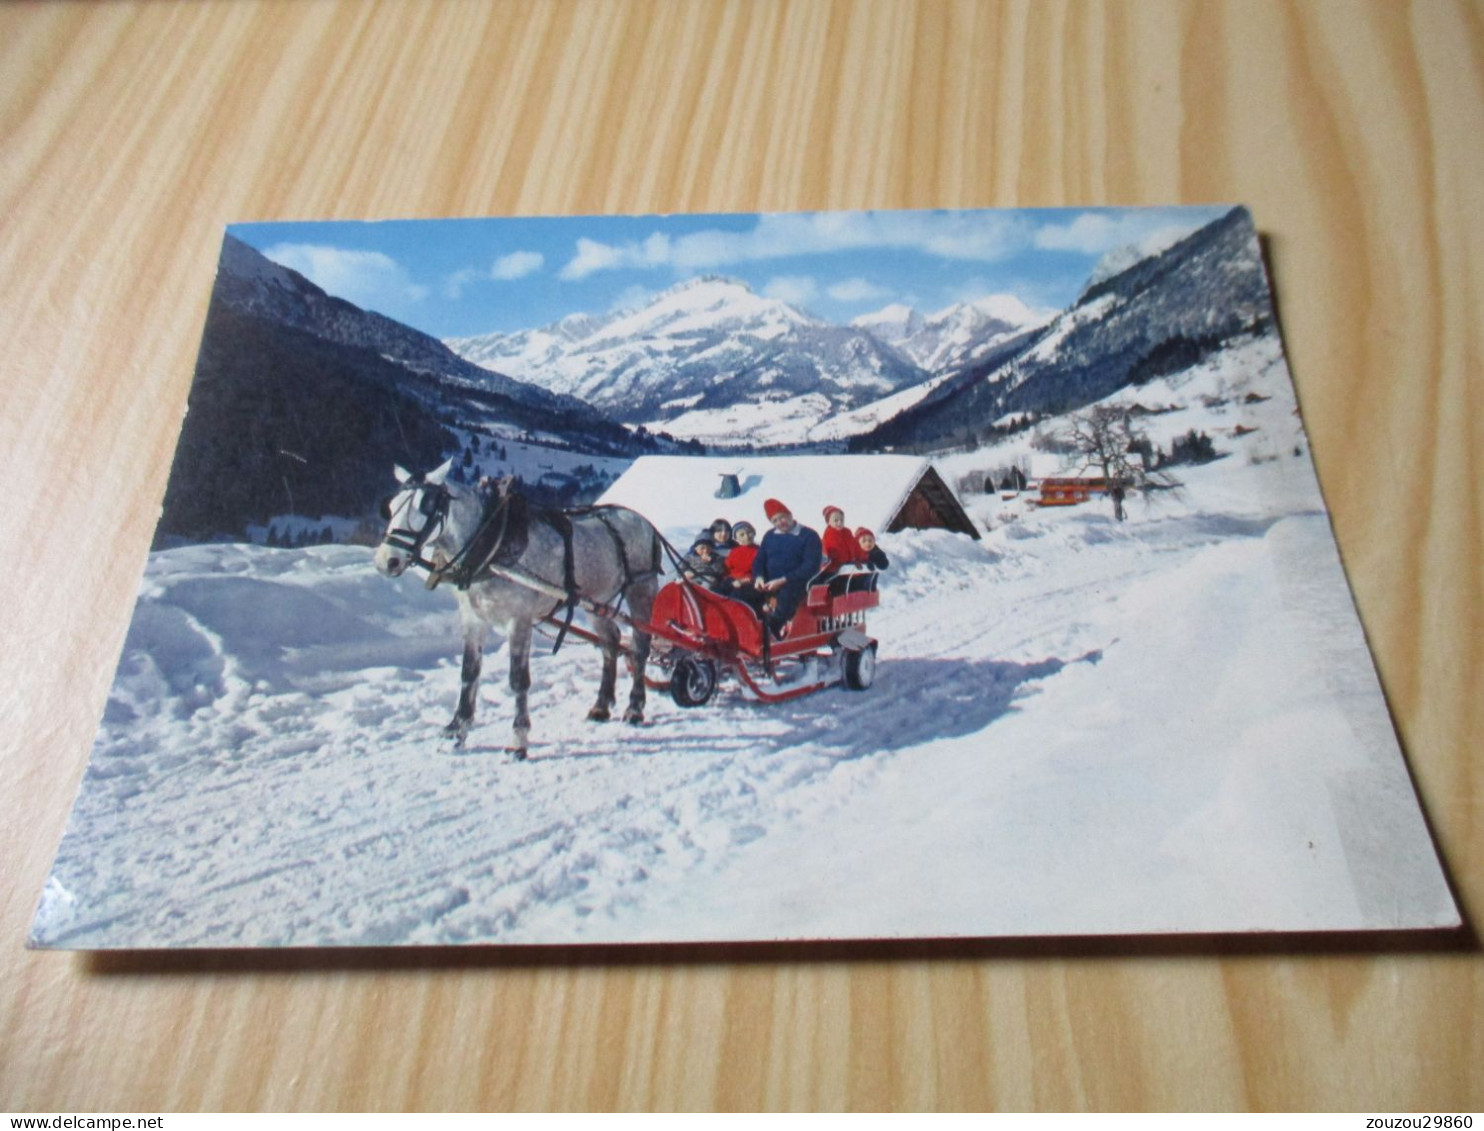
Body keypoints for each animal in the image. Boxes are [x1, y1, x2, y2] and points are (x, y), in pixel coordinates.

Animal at [373, 457, 664, 756]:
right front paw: (457, 729)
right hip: (598, 601)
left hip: (641, 588)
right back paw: (601, 705)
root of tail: (644, 521)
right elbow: (469, 672)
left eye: (426, 505)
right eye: (391, 506)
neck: (492, 546)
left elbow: (518, 679)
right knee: (610, 642)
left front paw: (518, 739)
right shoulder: (472, 617)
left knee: (640, 647)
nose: (387, 561)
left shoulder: (519, 618)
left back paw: (635, 707)